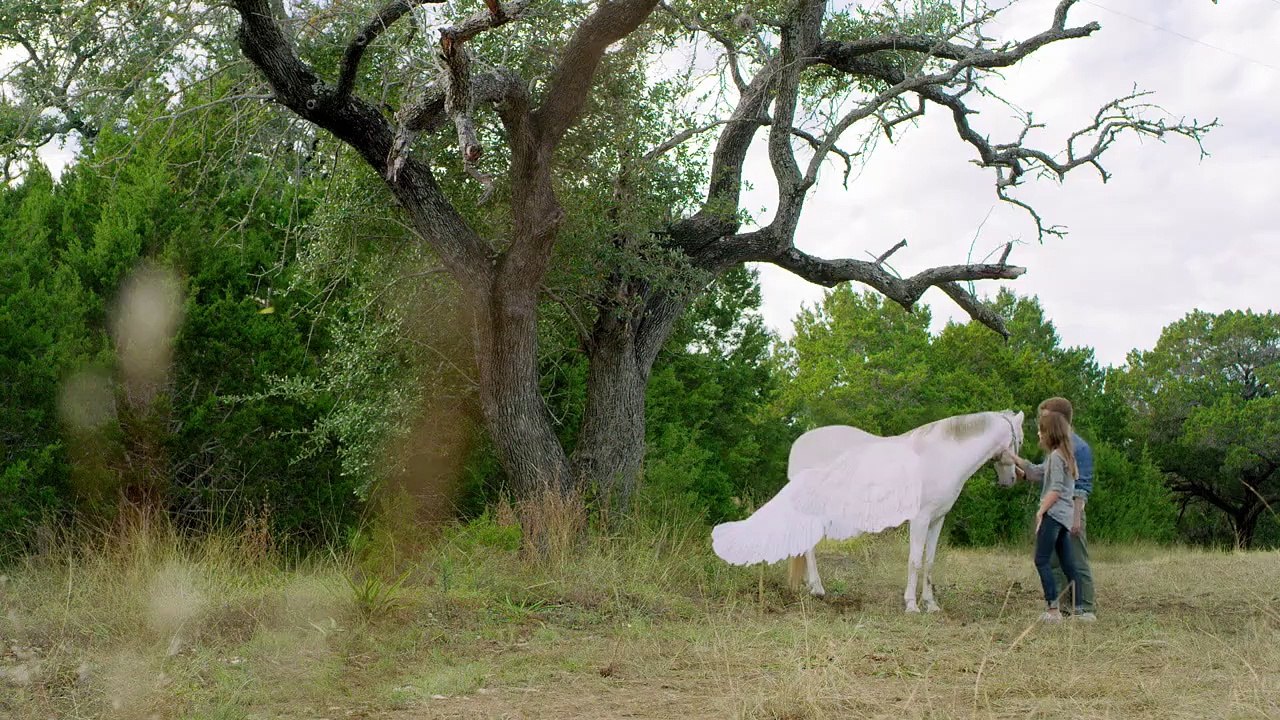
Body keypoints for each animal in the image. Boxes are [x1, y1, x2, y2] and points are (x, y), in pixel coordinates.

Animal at [711, 410, 1024, 613]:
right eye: (1019, 439)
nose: (1010, 481)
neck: (940, 455)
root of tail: (799, 443)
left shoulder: (937, 519)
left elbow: (930, 562)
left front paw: (931, 604)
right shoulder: (920, 519)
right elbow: (914, 561)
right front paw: (911, 605)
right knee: (808, 548)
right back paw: (818, 588)